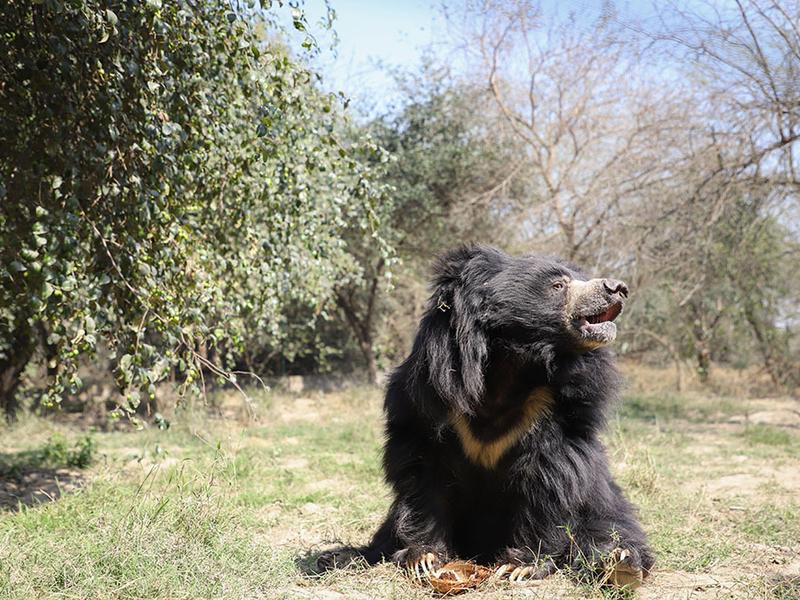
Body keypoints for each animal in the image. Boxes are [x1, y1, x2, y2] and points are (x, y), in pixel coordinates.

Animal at [318, 245, 654, 587]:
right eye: (558, 285)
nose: (618, 288)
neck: (509, 368)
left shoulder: (558, 406)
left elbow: (552, 475)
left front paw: (522, 566)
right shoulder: (426, 398)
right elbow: (422, 471)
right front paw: (423, 557)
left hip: (601, 502)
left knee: (608, 527)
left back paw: (621, 564)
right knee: (385, 534)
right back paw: (340, 557)